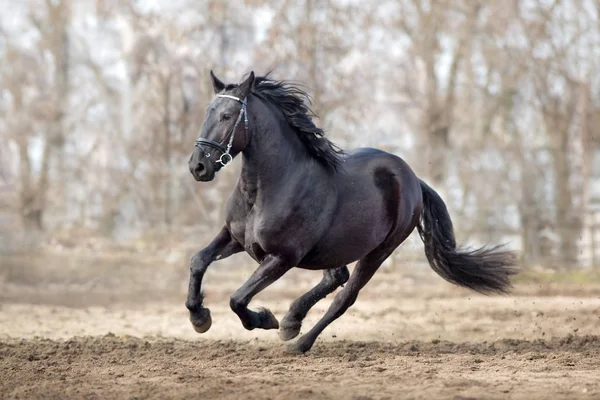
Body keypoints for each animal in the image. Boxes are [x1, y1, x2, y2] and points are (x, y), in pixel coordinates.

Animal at [185, 71, 516, 354]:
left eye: (227, 116)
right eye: (208, 112)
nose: (198, 166)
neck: (268, 188)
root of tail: (413, 180)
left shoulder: (282, 257)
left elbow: (238, 298)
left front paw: (265, 319)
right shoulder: (235, 237)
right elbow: (198, 261)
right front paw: (200, 318)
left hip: (378, 251)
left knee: (345, 297)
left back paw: (297, 340)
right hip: (333, 249)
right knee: (337, 278)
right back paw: (292, 321)